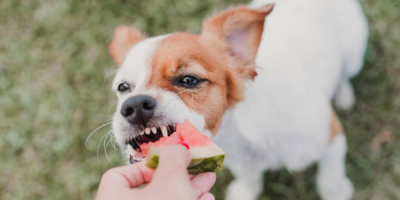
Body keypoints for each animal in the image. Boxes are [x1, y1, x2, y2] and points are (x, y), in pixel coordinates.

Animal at [108, 0, 368, 199]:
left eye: (189, 80)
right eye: (123, 87)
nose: (134, 106)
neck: (240, 134)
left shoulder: (332, 137)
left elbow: (330, 176)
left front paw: (337, 191)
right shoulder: (239, 161)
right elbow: (249, 178)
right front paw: (246, 191)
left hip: (354, 54)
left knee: (345, 74)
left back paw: (343, 93)